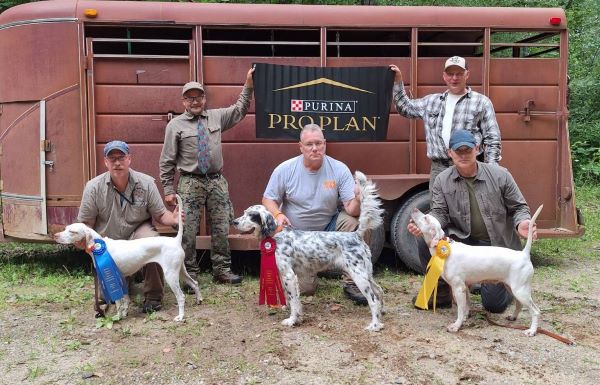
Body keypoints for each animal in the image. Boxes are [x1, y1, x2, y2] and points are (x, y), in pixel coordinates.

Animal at [53, 194, 202, 320]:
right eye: (65, 228)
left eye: (72, 232)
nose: (55, 235)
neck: (100, 246)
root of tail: (175, 240)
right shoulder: (122, 278)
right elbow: (125, 300)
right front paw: (124, 313)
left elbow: (119, 301)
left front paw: (117, 317)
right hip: (181, 271)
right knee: (195, 283)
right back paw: (199, 300)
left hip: (171, 275)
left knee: (181, 297)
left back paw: (180, 317)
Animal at [412, 204, 544, 336]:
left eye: (426, 218)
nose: (414, 209)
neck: (444, 247)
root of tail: (524, 254)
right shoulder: (465, 287)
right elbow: (466, 306)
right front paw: (465, 317)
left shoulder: (458, 288)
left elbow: (460, 310)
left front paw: (456, 326)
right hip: (511, 288)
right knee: (519, 304)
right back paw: (513, 317)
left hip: (520, 291)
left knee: (536, 311)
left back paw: (532, 331)